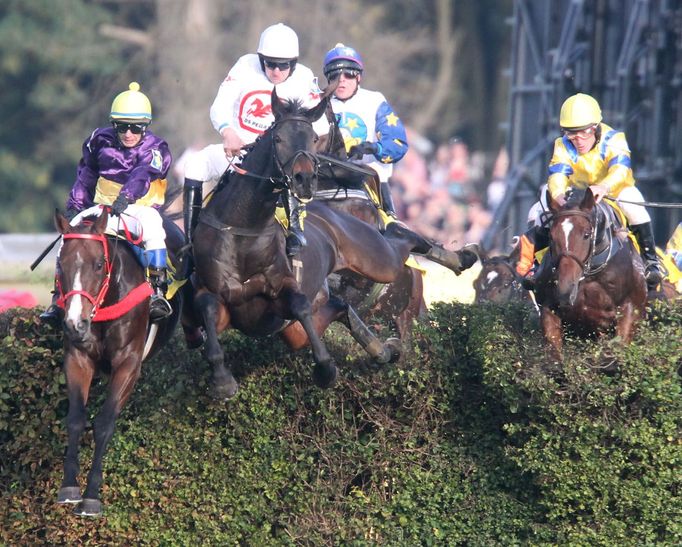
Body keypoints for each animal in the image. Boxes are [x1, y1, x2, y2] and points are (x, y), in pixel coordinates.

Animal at [53, 208, 185, 516]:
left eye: (99, 264)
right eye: (61, 265)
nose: (75, 323)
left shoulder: (128, 363)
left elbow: (104, 423)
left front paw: (91, 497)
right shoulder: (77, 358)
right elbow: (76, 418)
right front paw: (69, 488)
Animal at [183, 89, 462, 398]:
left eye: (312, 138)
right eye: (279, 139)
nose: (304, 179)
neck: (243, 230)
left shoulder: (289, 287)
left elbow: (301, 304)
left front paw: (326, 368)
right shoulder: (214, 296)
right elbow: (208, 311)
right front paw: (221, 379)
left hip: (378, 262)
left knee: (402, 240)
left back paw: (462, 257)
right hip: (297, 330)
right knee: (341, 307)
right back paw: (383, 350)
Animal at [528, 188, 644, 360]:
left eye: (586, 234)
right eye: (551, 236)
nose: (565, 288)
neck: (590, 275)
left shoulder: (629, 309)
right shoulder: (549, 310)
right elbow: (555, 358)